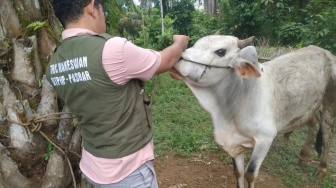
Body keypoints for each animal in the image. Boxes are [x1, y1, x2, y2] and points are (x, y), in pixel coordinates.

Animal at [171, 34, 336, 187]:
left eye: (220, 51)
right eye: (195, 44)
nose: (177, 57)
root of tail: (327, 52)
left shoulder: (265, 139)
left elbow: (250, 173)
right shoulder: (236, 142)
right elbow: (238, 172)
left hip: (328, 106)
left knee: (326, 134)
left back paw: (322, 169)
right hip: (308, 108)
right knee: (314, 126)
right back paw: (303, 157)